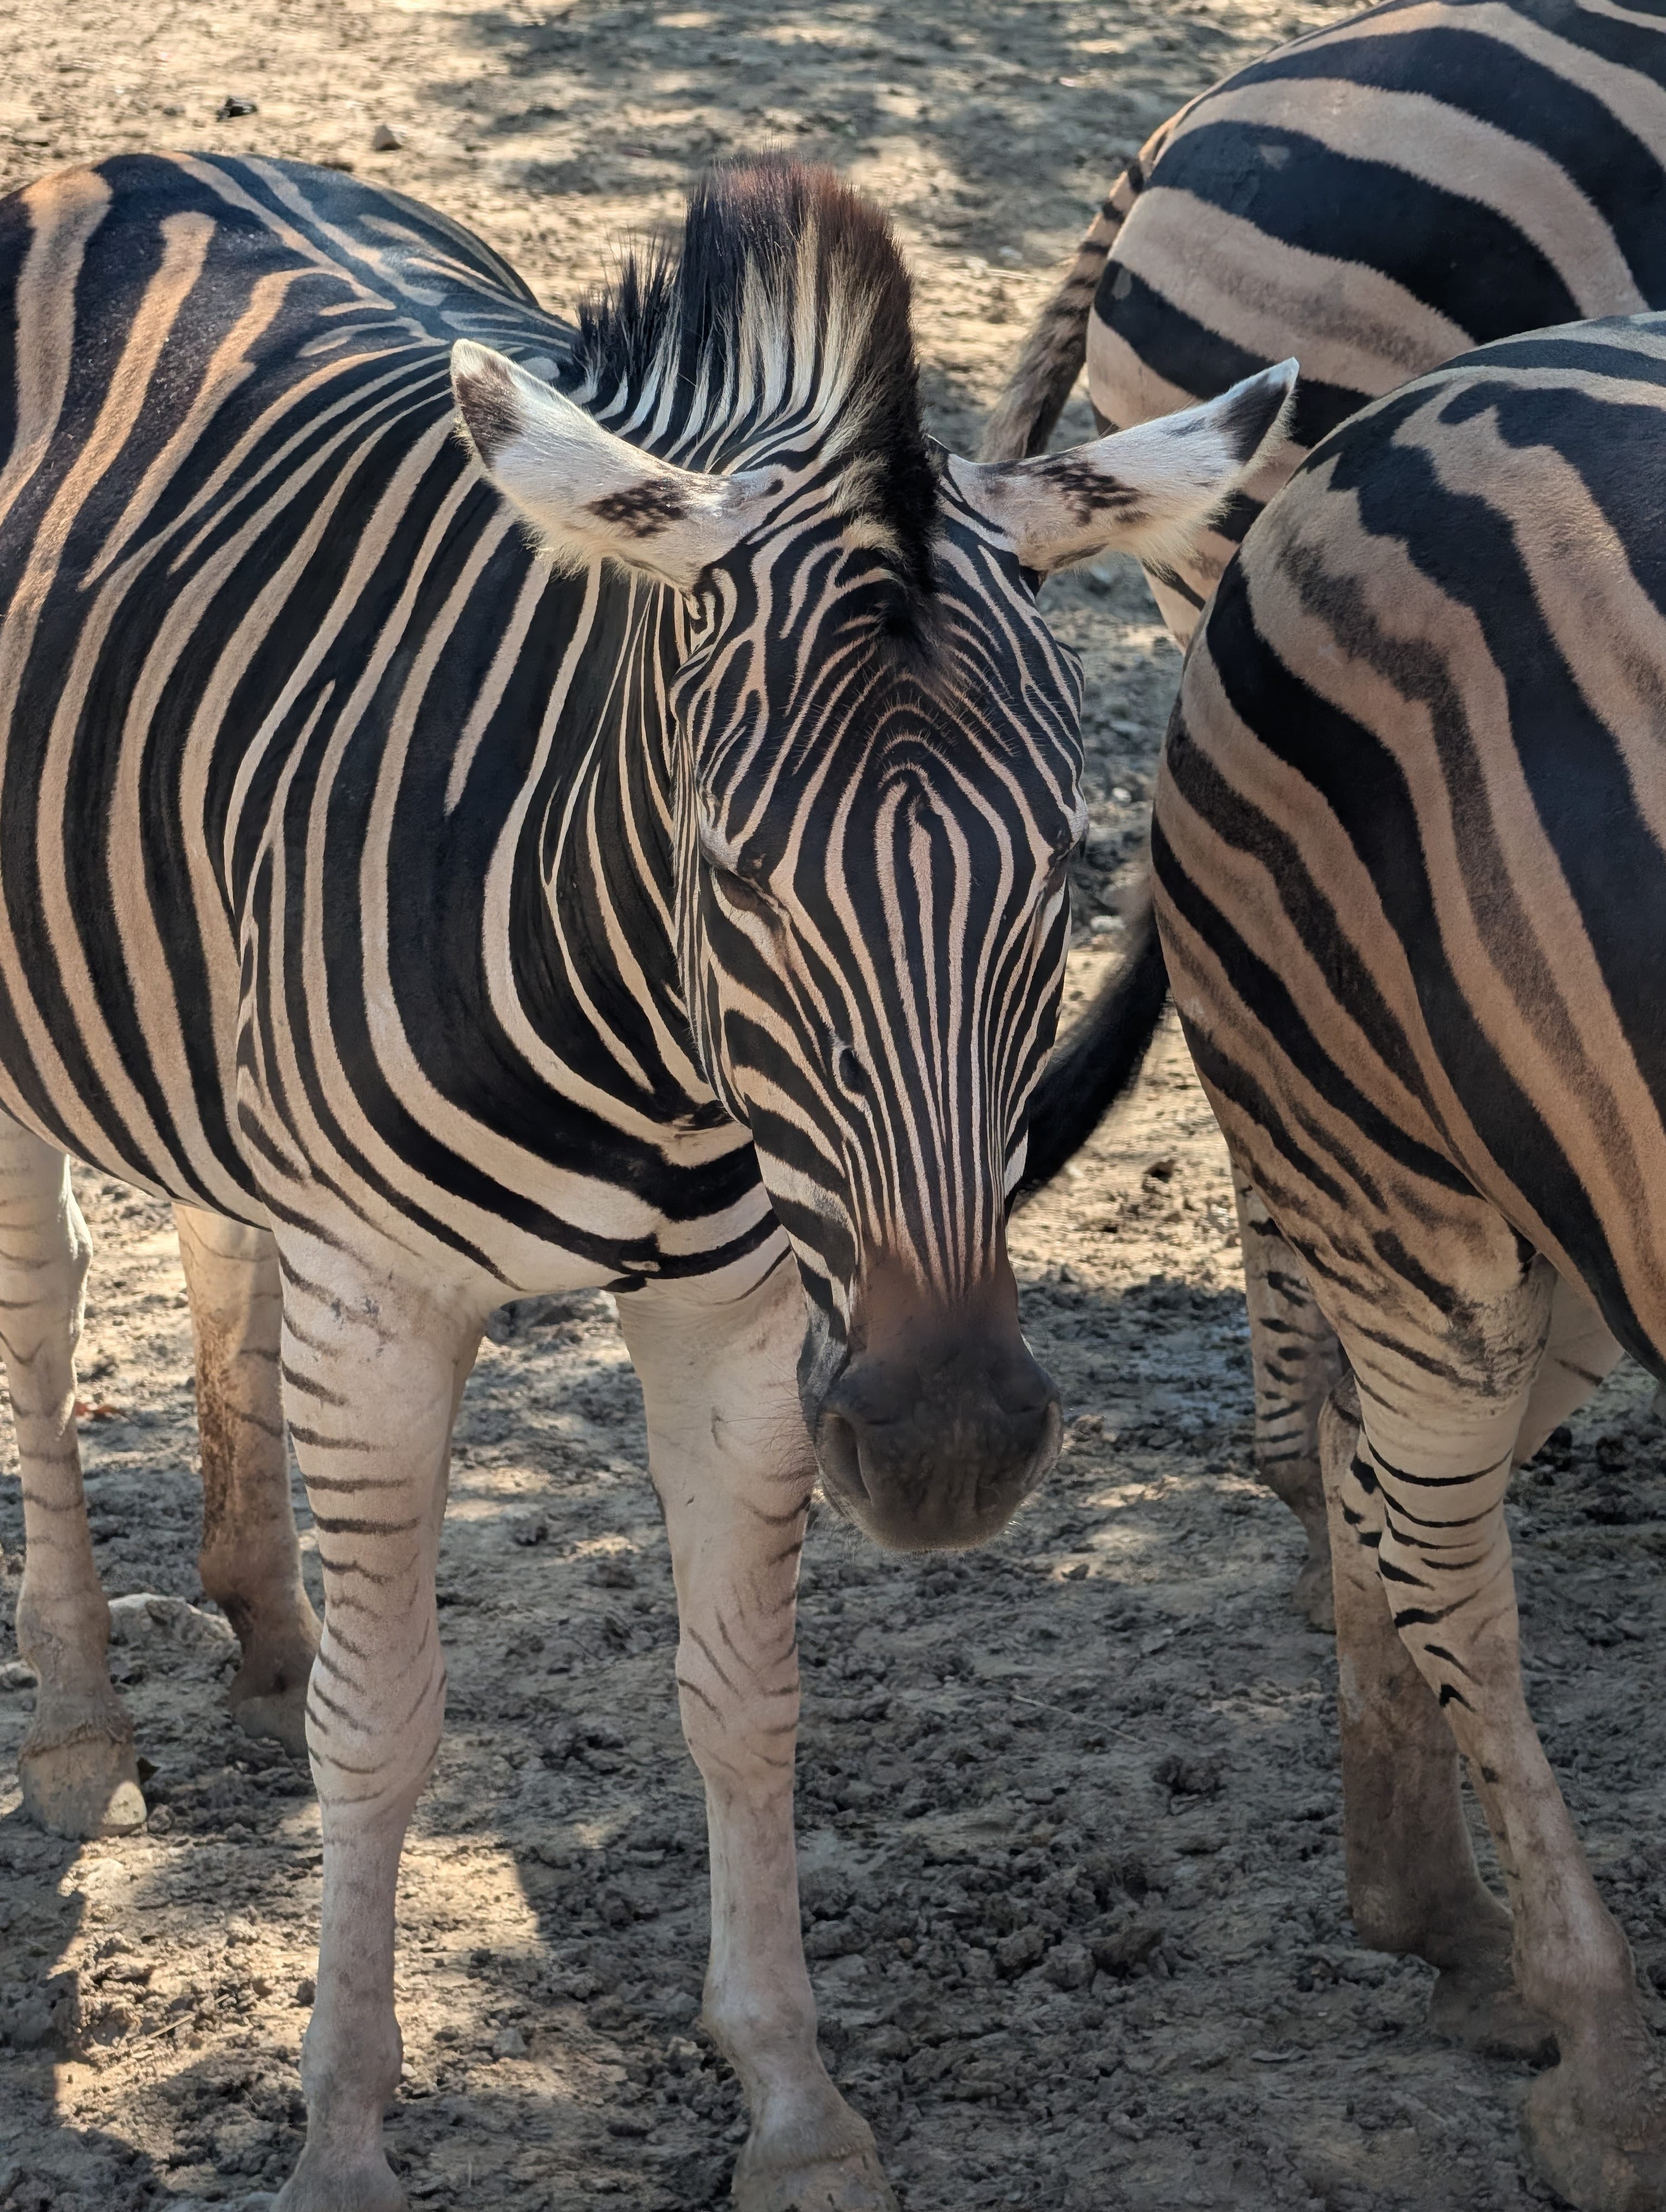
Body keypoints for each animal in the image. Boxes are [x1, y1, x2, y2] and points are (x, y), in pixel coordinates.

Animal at [0, 152, 1293, 2208]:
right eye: (738, 873)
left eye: (1060, 867)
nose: (948, 1455)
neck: (662, 1062)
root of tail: (129, 167)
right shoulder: (383, 1297)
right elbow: (390, 1728)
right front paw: (344, 2136)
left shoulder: (749, 1311)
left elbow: (742, 1697)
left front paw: (793, 2099)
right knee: (44, 1323)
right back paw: (74, 1724)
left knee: (214, 1245)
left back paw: (262, 1630)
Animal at [1154, 310, 1666, 2212]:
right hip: (1397, 1174)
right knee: (1441, 1544)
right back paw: (1599, 2073)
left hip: (1565, 1219)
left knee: (1375, 1481)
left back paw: (1431, 1911)